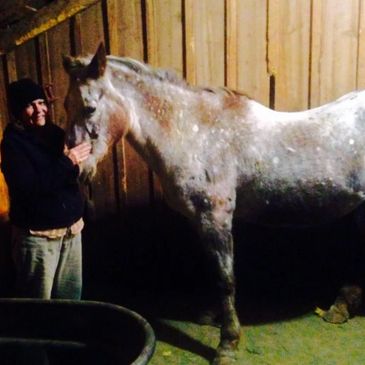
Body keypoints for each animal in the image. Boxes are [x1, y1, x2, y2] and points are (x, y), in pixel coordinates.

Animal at [62, 43, 364, 364]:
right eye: (66, 105)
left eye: (89, 107)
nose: (76, 169)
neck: (195, 132)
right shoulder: (199, 219)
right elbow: (213, 270)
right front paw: (212, 316)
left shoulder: (215, 217)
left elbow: (225, 278)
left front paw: (227, 343)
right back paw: (340, 308)